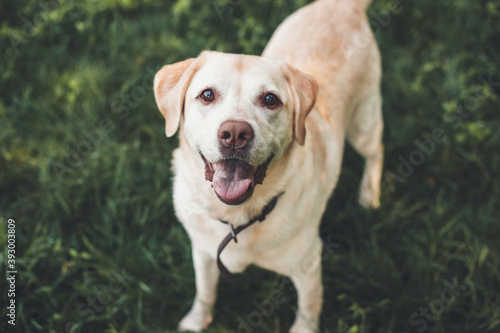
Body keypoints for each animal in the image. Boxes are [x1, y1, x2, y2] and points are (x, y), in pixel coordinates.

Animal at [152, 0, 382, 330]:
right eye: (207, 94)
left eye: (270, 99)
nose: (235, 134)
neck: (237, 218)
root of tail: (344, 6)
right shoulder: (203, 251)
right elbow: (204, 290)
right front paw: (196, 320)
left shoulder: (308, 266)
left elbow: (308, 309)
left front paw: (303, 328)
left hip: (364, 122)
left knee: (376, 151)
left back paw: (369, 194)